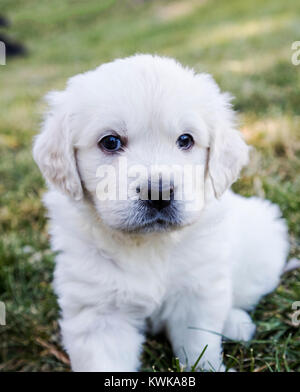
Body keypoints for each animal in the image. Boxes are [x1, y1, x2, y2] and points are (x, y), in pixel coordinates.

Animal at [33, 54, 290, 370]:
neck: (148, 245)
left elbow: (199, 344)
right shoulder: (99, 314)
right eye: (110, 142)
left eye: (185, 140)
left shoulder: (196, 293)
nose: (159, 193)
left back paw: (236, 323)